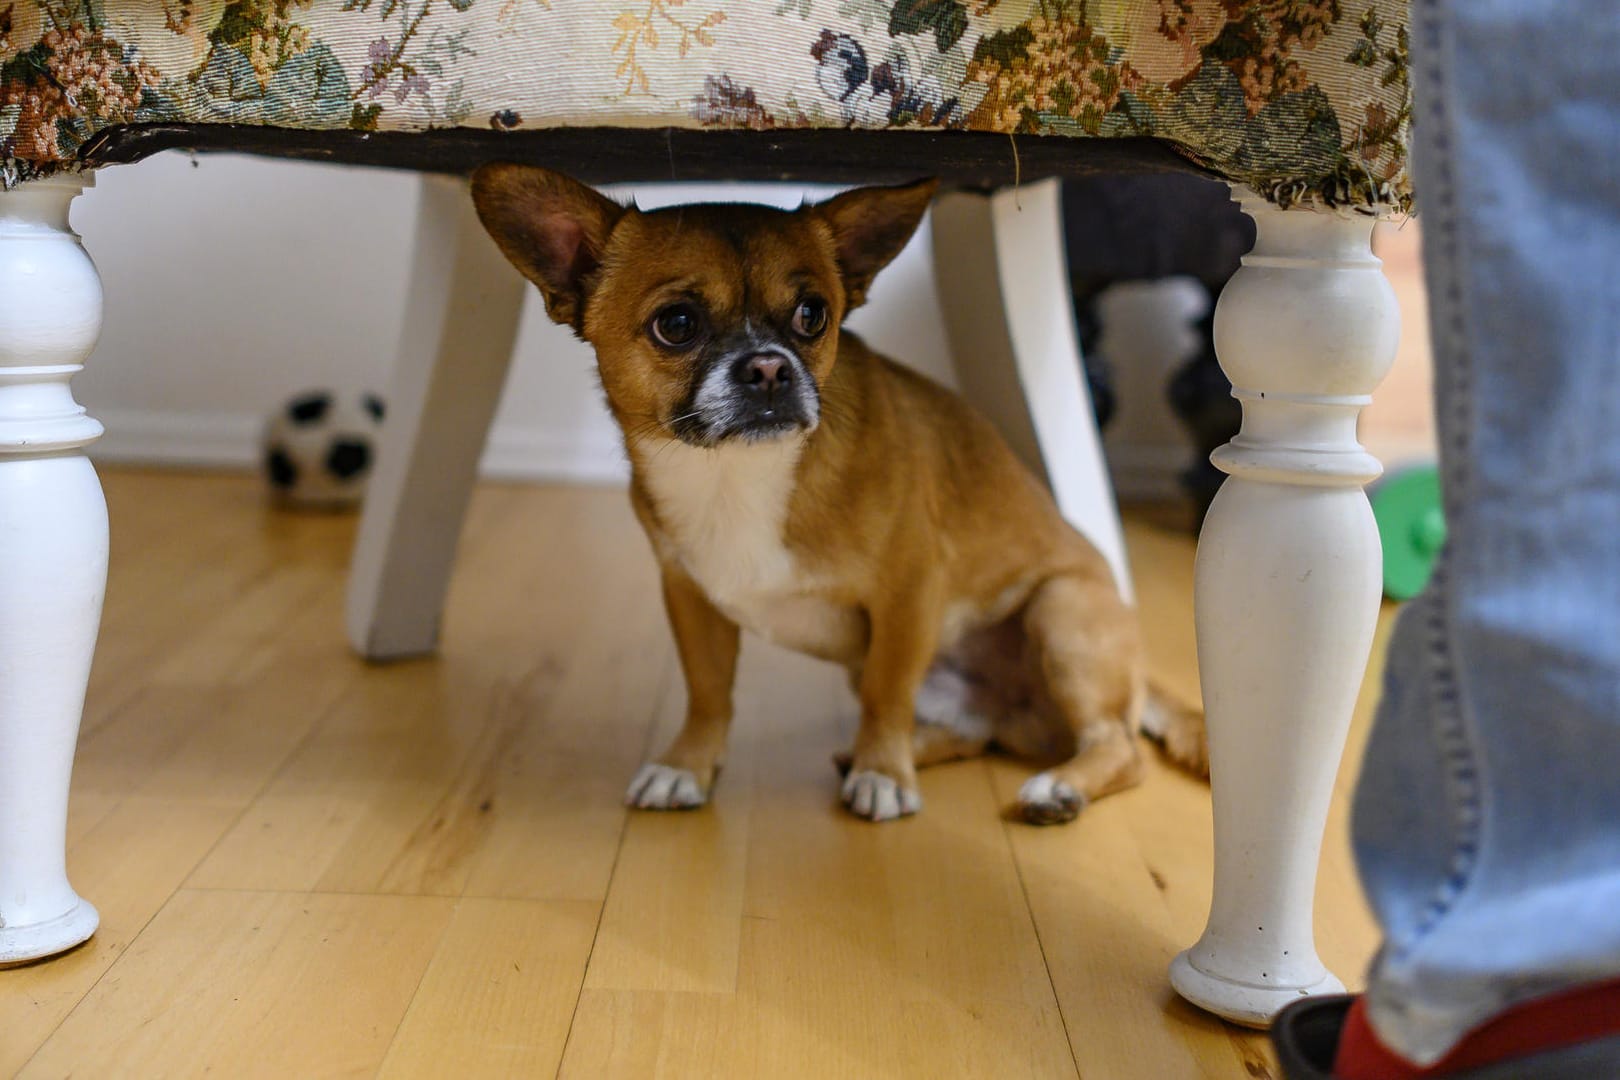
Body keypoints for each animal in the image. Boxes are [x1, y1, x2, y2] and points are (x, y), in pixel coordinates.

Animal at [469, 166, 1205, 829]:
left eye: (812, 315)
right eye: (675, 323)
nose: (769, 365)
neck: (736, 474)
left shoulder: (908, 597)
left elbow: (887, 691)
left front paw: (884, 774)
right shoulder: (690, 597)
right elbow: (708, 693)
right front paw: (688, 765)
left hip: (1062, 613)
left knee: (1119, 748)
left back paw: (1052, 787)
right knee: (977, 734)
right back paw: (902, 752)